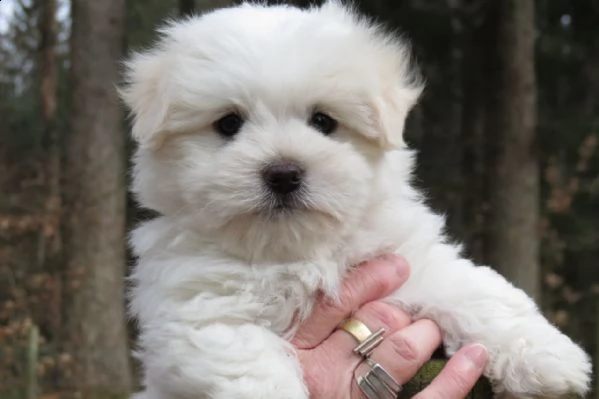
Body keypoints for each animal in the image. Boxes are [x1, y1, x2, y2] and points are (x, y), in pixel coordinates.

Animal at [120, 1, 592, 398]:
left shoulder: (410, 263)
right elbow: (252, 369)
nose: (283, 173)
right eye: (228, 124)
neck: (296, 251)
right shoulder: (200, 315)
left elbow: (479, 294)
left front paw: (548, 359)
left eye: (323, 121)